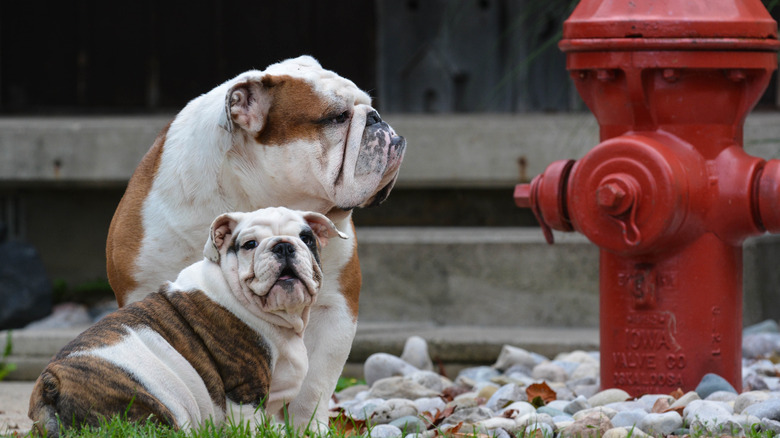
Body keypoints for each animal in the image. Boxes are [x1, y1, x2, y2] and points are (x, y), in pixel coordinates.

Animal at [105, 54, 408, 428]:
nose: (378, 119)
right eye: (337, 117)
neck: (255, 198)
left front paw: (308, 429)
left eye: (369, 106)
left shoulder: (335, 309)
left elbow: (313, 386)